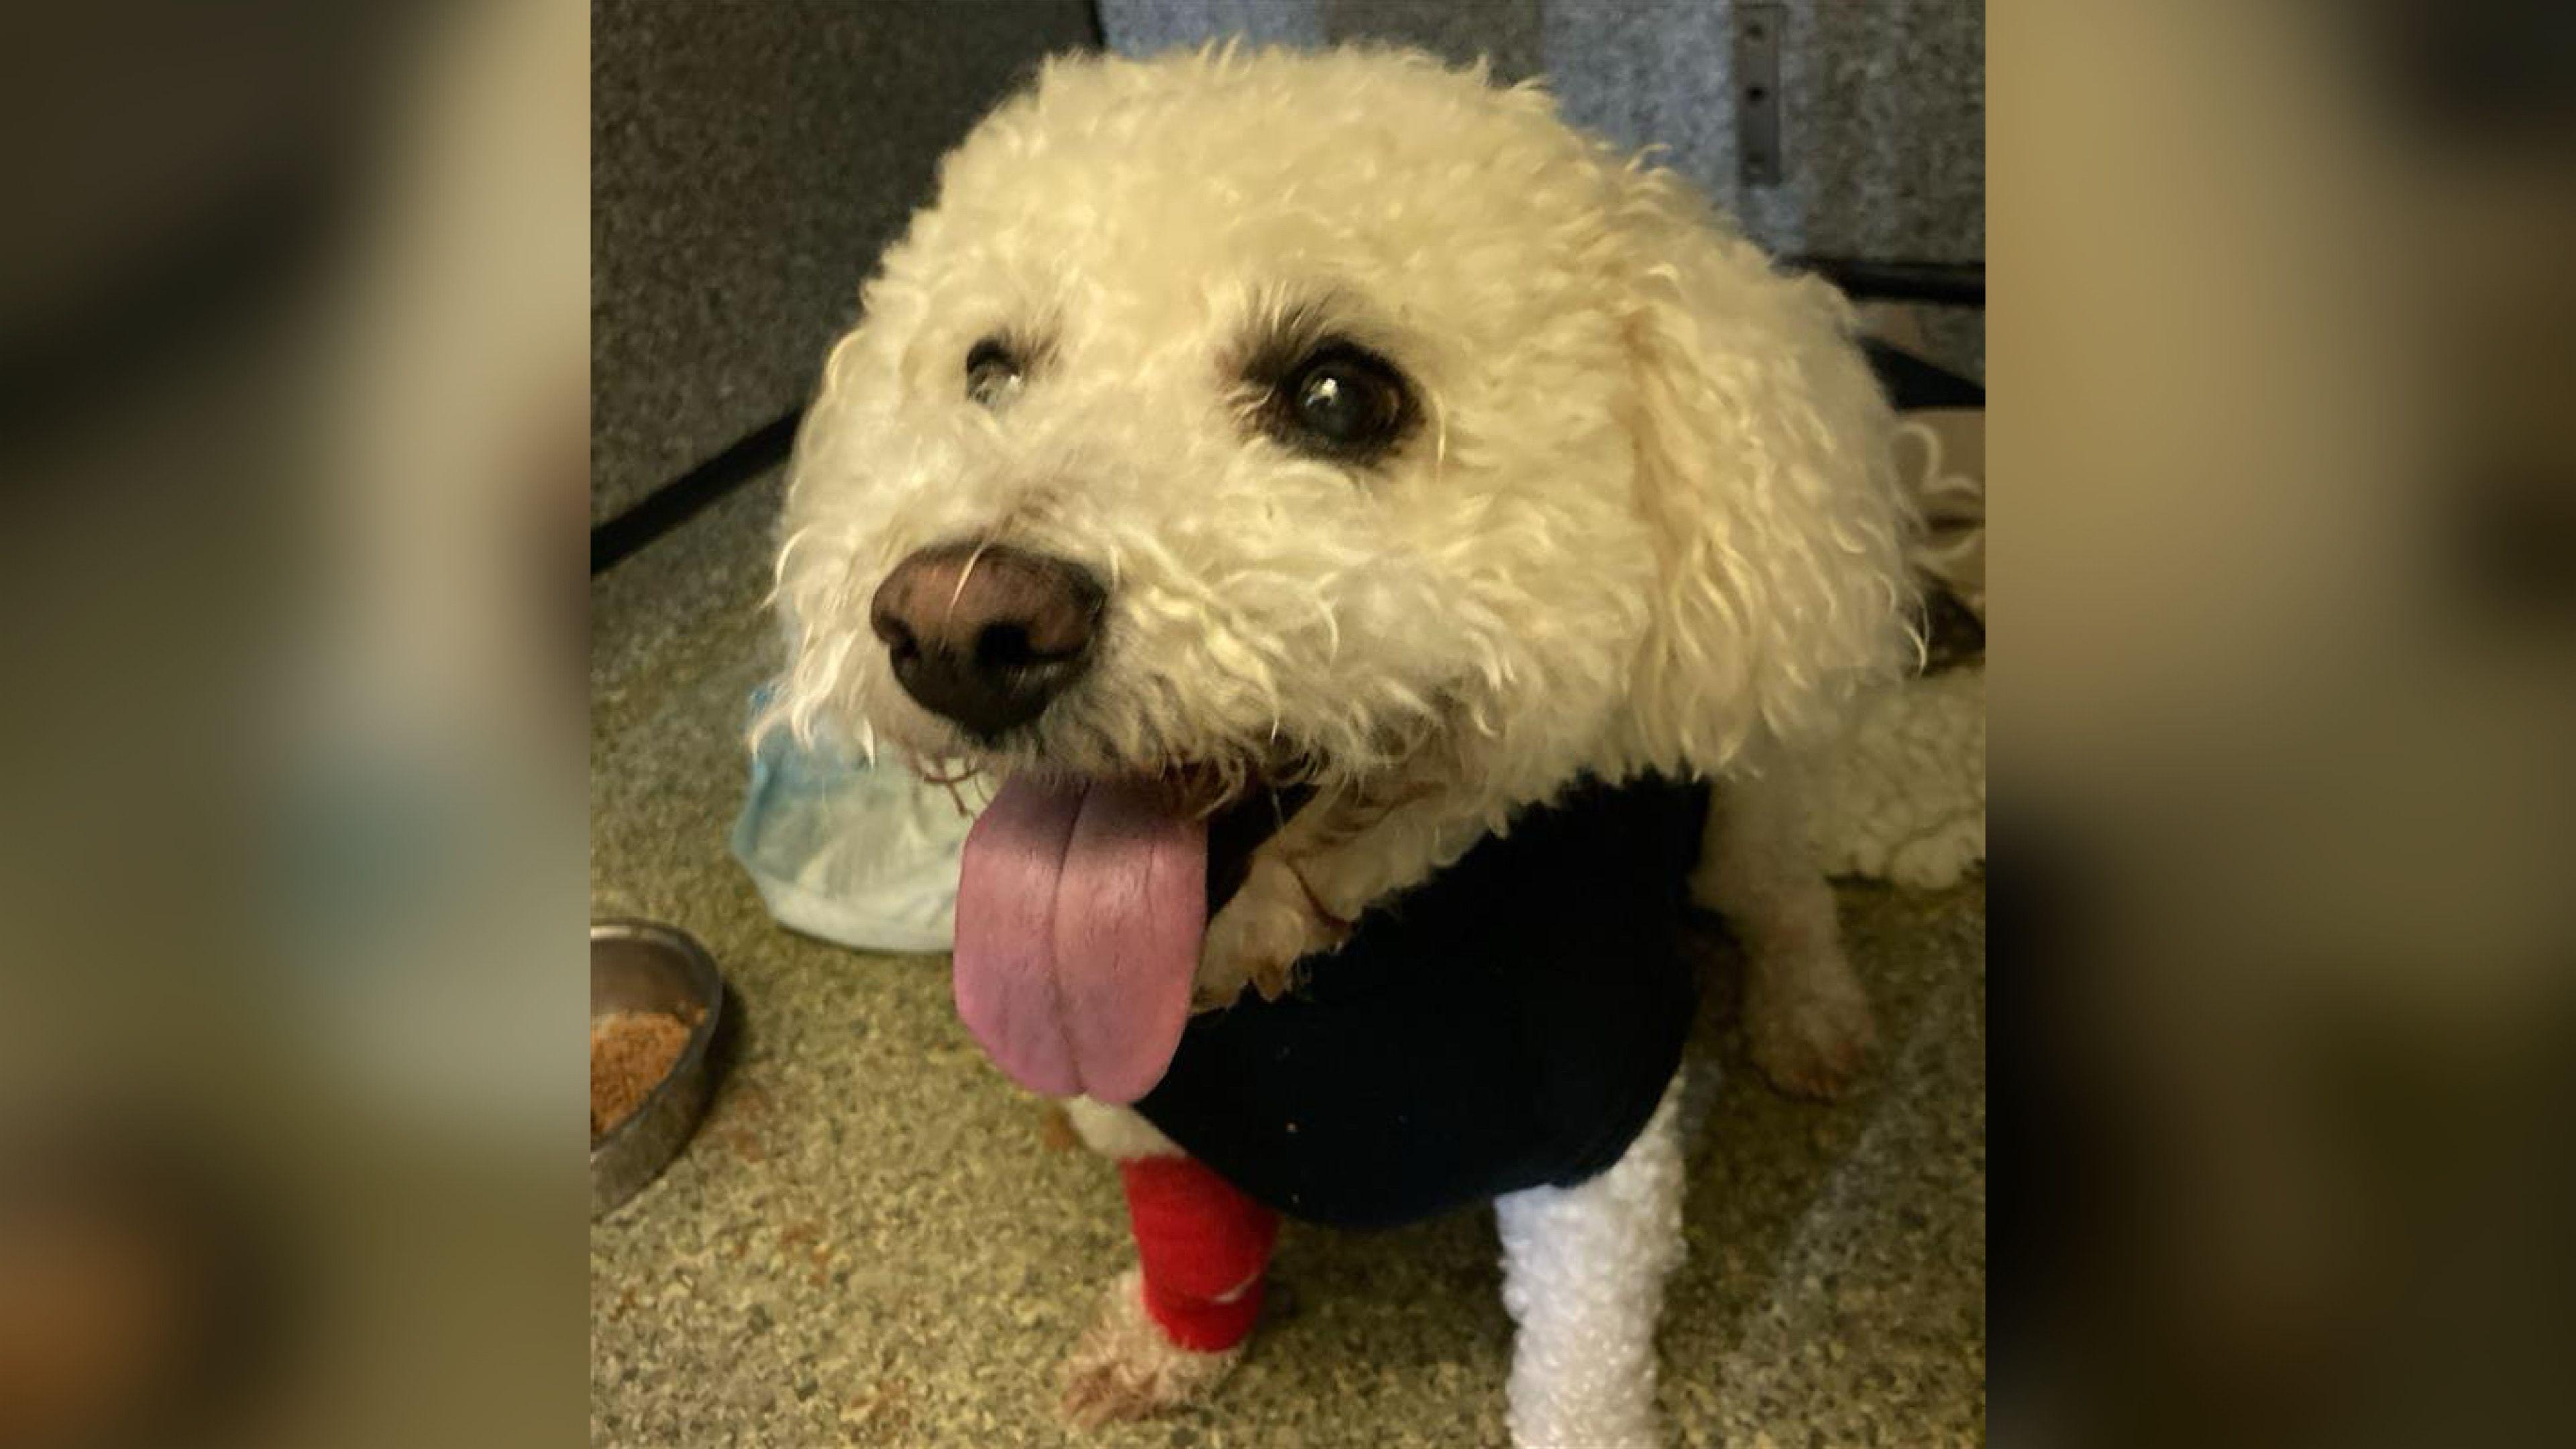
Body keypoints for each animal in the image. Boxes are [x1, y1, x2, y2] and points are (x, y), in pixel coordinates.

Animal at [762, 45, 1916, 1444]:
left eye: (1337, 396)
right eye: (988, 372)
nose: (959, 625)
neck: (1319, 979)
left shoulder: (1595, 1158)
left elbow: (1581, 1354)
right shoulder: (1150, 1104)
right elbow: (1190, 1237)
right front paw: (1169, 1347)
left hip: (1734, 815)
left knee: (1791, 895)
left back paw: (1812, 1019)